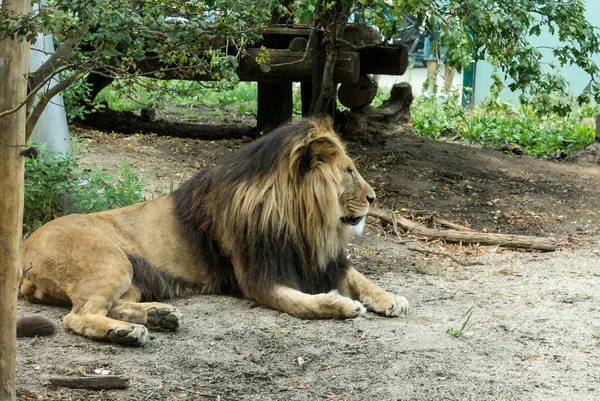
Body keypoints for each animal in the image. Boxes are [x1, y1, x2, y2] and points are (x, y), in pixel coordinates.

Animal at [21, 118, 410, 344]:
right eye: (349, 171)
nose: (373, 198)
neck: (300, 222)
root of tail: (24, 251)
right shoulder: (258, 279)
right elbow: (303, 304)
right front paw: (341, 304)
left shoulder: (321, 260)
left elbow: (361, 278)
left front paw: (391, 298)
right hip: (112, 262)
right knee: (77, 315)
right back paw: (126, 332)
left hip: (133, 274)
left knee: (112, 306)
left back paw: (158, 316)